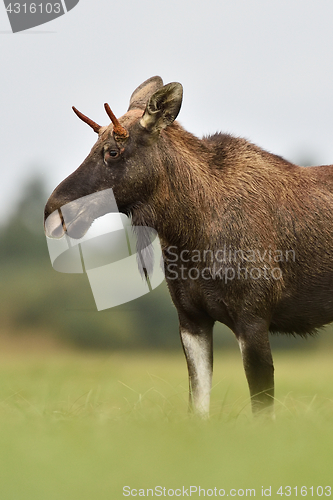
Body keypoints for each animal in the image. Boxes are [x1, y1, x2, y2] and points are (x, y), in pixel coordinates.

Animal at [44, 75, 332, 418]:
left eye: (112, 151)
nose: (54, 210)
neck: (189, 233)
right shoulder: (191, 319)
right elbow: (198, 406)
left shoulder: (253, 316)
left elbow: (262, 408)